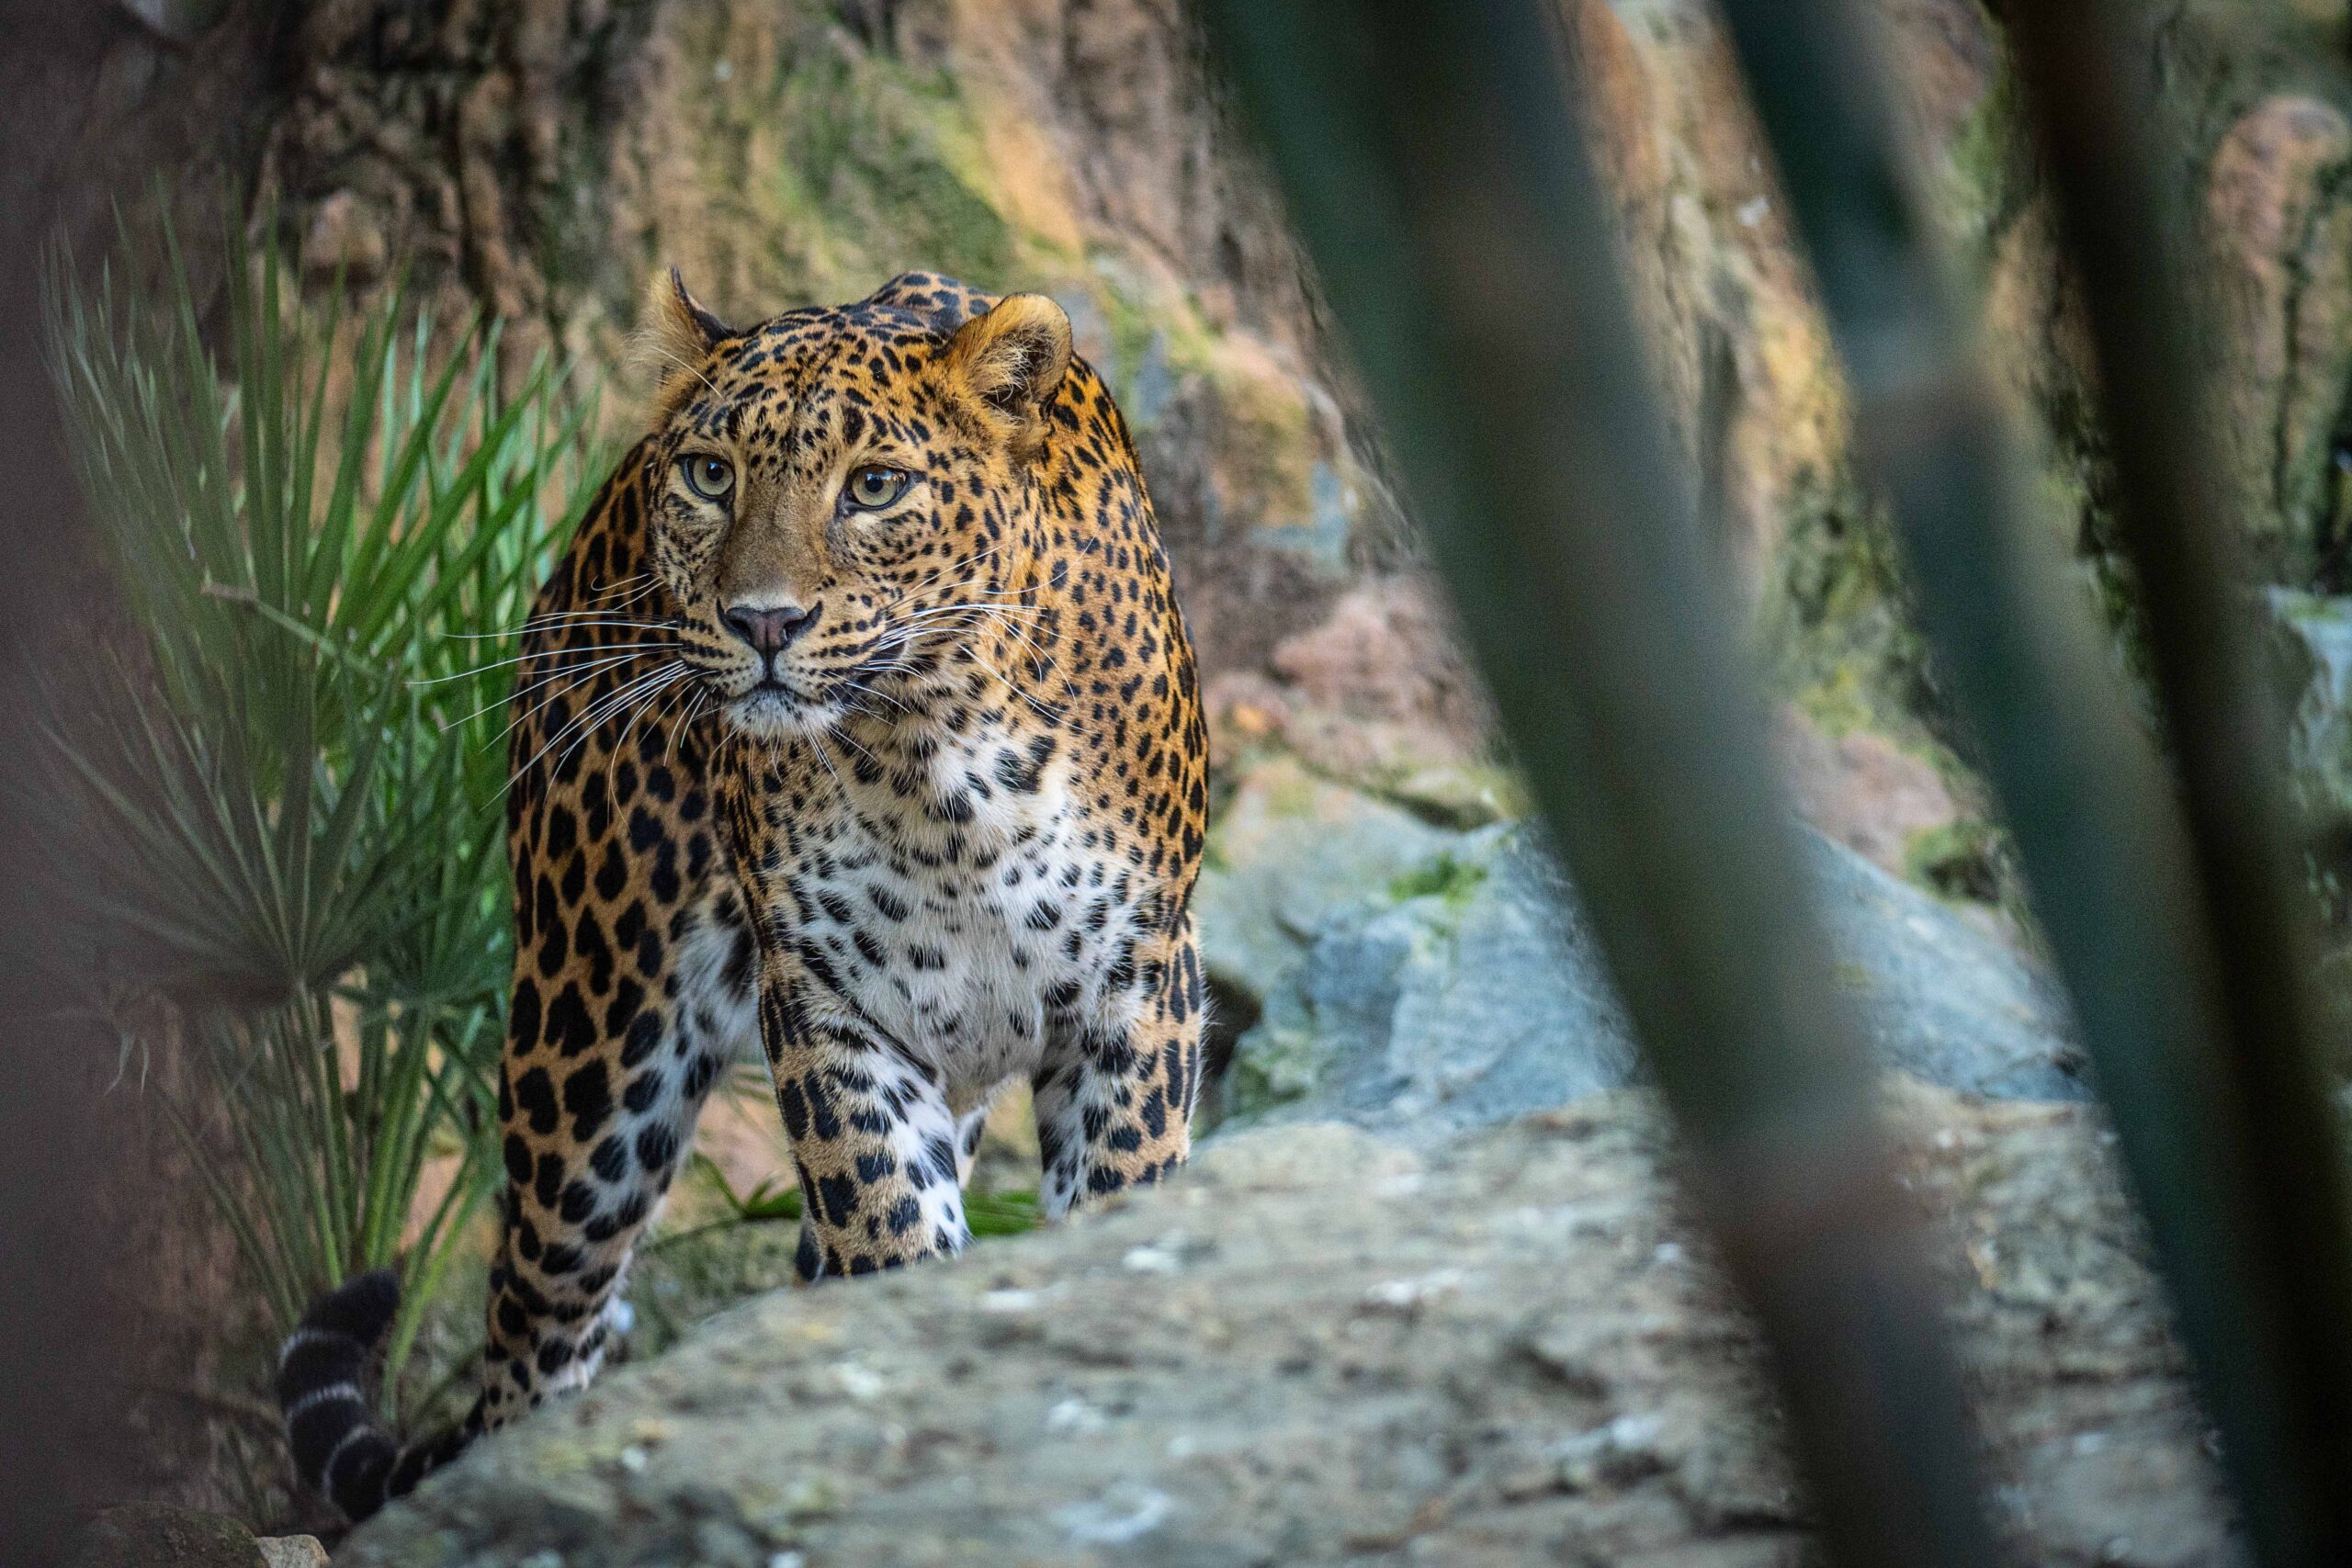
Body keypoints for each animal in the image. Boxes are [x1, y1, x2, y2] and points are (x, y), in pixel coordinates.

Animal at [275, 266, 1213, 1523]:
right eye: (713, 476)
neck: (940, 766)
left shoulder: (1139, 986)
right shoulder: (829, 1007)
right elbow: (889, 1229)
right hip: (592, 1049)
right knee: (532, 1339)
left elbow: (1114, 1203)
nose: (763, 621)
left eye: (875, 487)